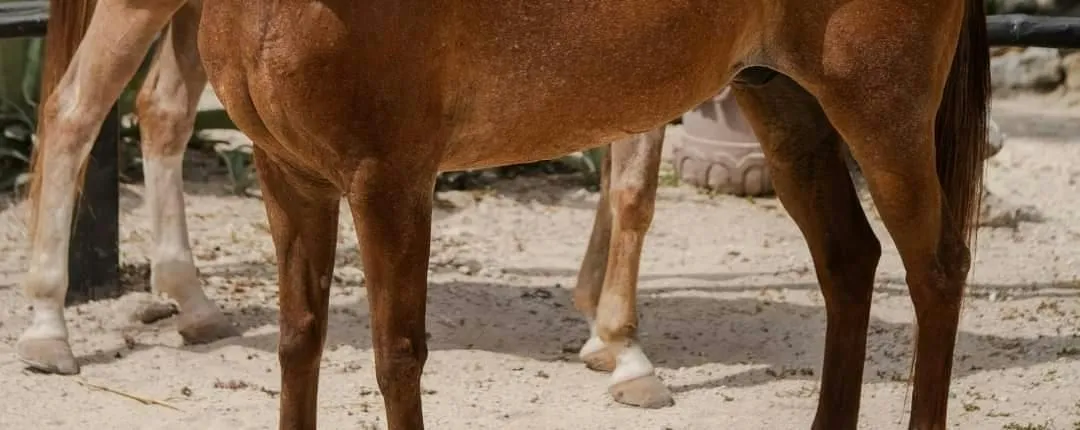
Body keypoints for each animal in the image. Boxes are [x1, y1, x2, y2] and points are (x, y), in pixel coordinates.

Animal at [18, 0, 675, 408]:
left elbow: (625, 179)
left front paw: (603, 332)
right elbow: (633, 190)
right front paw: (625, 351)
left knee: (162, 108)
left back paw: (192, 300)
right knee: (74, 109)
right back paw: (48, 327)